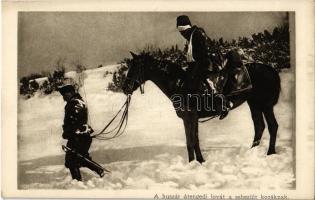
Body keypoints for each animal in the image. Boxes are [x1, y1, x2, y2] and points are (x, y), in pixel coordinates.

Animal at [123, 51, 282, 162]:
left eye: (135, 67)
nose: (125, 88)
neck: (180, 84)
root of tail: (272, 71)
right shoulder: (191, 119)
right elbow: (195, 141)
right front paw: (199, 161)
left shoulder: (189, 117)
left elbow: (191, 141)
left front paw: (192, 163)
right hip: (254, 104)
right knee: (259, 126)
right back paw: (252, 152)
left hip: (266, 105)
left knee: (272, 126)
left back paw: (270, 152)